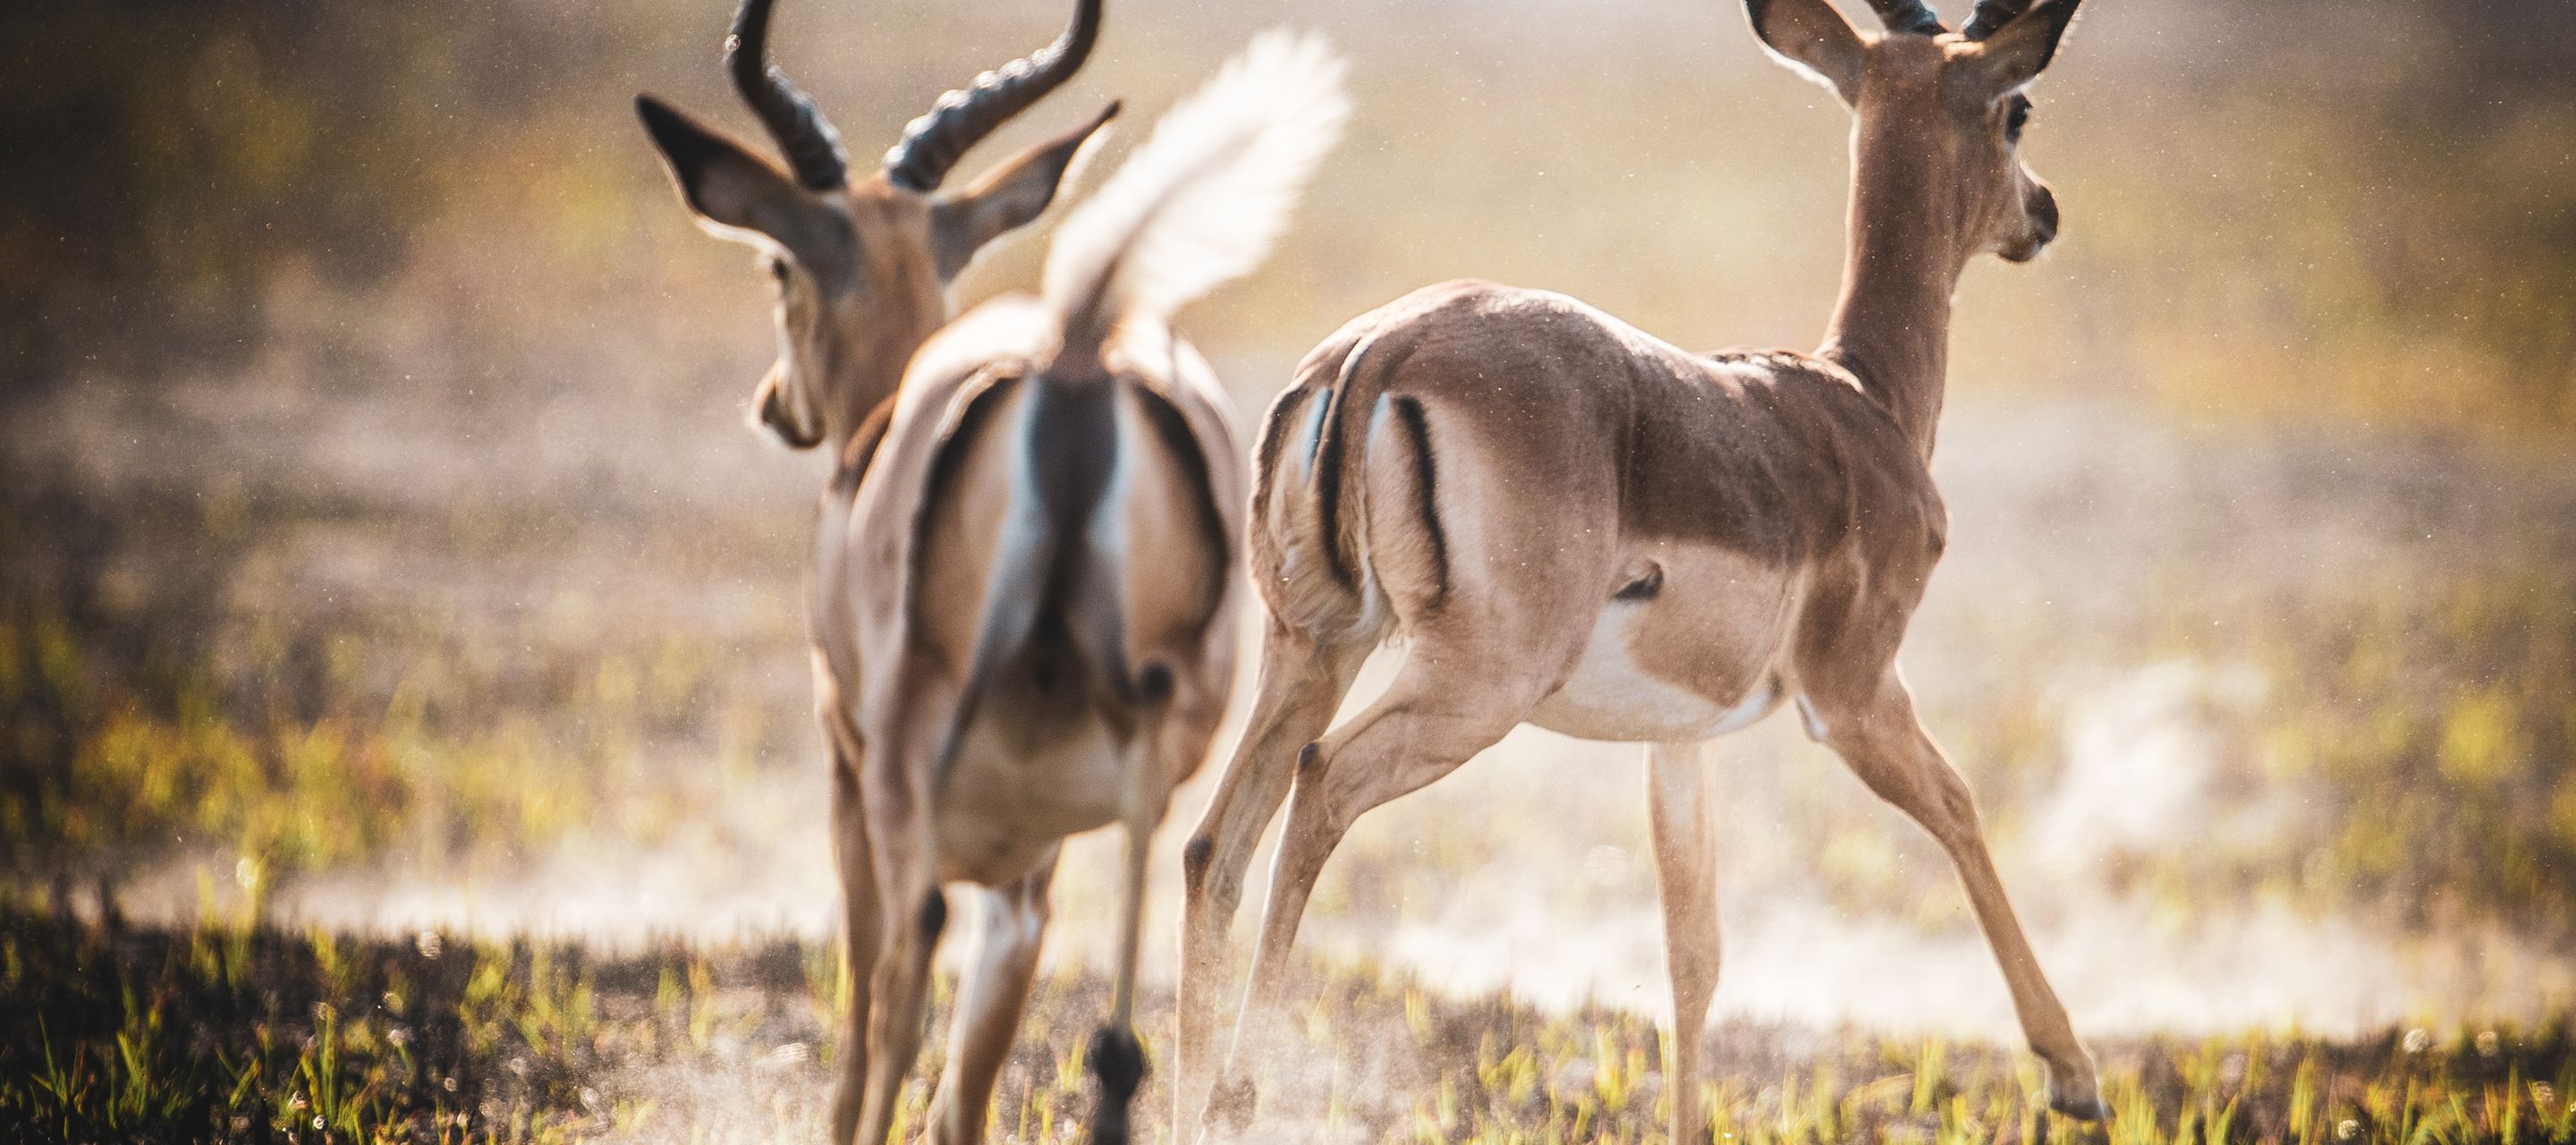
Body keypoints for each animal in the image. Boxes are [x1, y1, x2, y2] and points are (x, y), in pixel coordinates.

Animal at [637, 4, 1347, 1141]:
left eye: (776, 269)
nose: (775, 405)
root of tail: (1075, 354)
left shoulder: (851, 775)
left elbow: (866, 1027)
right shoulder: (1034, 852)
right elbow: (970, 1075)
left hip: (913, 757)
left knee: (906, 975)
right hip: (1149, 758)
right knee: (1131, 1015)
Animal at [1174, 0, 2104, 1139]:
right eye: (2018, 110)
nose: (2044, 211)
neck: (1863, 399)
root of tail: (1375, 356)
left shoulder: (1679, 737)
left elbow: (1691, 950)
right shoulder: (1853, 694)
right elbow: (1962, 809)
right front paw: (2073, 1074)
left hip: (1314, 646)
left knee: (1215, 844)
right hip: (1473, 687)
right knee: (1322, 787)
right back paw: (1240, 1091)